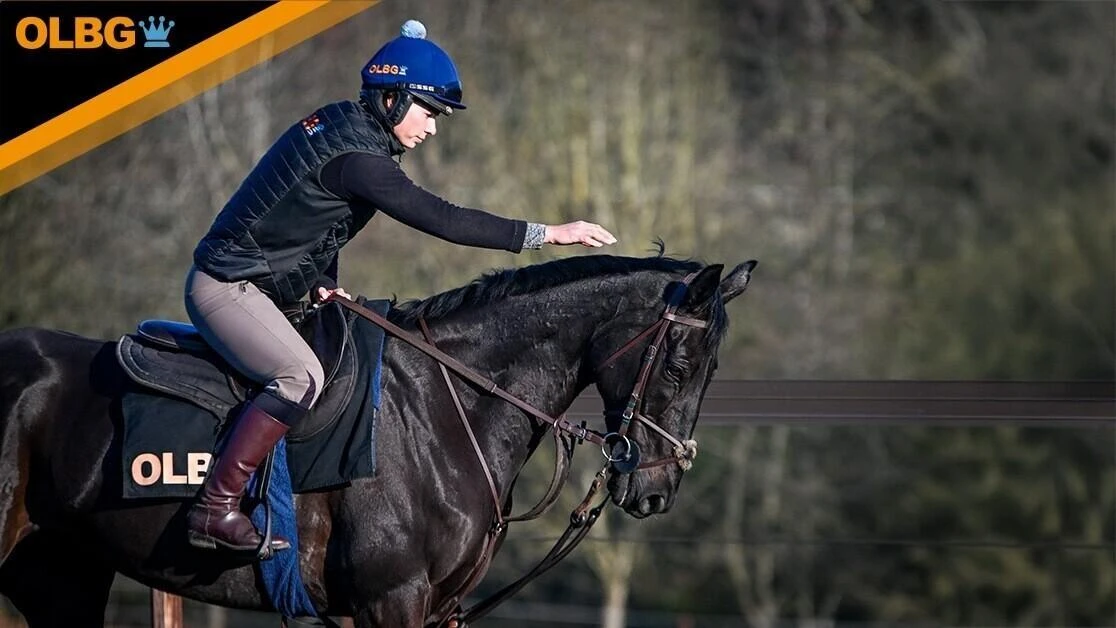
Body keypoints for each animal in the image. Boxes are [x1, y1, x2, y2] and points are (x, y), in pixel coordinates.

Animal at [0, 253, 755, 627]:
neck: (444, 407)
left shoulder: (437, 608)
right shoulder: (390, 599)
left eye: (715, 369)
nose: (657, 489)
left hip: (57, 577)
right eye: (680, 365)